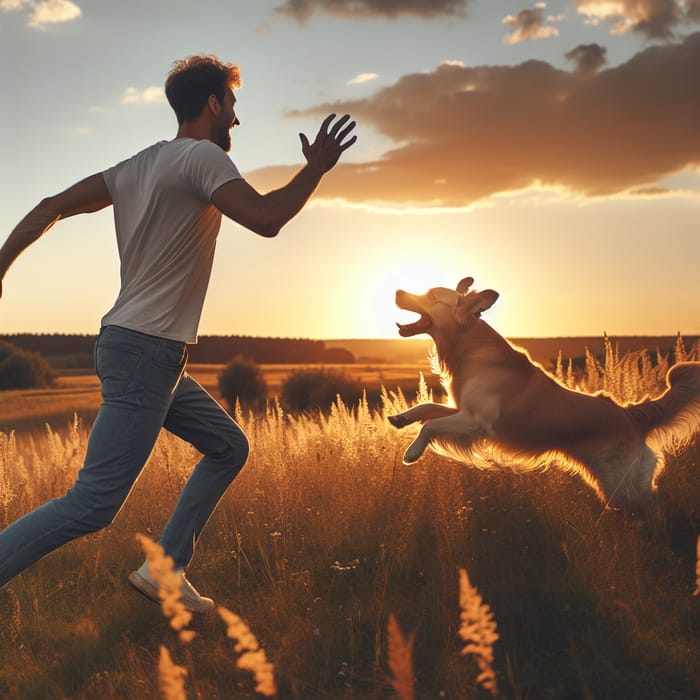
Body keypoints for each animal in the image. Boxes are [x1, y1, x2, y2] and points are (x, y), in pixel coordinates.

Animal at [388, 274, 700, 516]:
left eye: (431, 295)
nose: (397, 291)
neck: (471, 349)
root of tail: (630, 414)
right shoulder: (463, 409)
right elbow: (427, 406)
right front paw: (401, 417)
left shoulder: (479, 421)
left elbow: (431, 425)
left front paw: (412, 452)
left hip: (621, 485)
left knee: (650, 505)